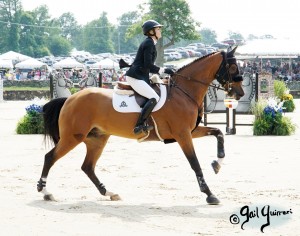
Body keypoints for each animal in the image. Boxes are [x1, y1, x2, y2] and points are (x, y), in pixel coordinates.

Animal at [37, 46, 244, 205]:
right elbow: (195, 163)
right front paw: (210, 194)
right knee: (50, 157)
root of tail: (70, 98)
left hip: (97, 139)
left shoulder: (189, 131)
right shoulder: (183, 134)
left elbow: (218, 132)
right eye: (233, 66)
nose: (240, 93)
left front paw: (217, 163)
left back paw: (109, 193)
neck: (184, 91)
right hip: (73, 137)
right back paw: (46, 192)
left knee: (87, 167)